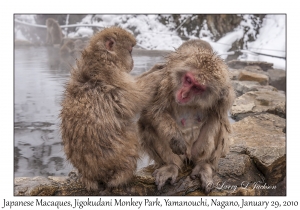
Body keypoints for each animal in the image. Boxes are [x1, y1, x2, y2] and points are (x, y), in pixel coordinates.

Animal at [59, 26, 145, 190]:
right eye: (130, 51)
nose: (133, 61)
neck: (100, 56)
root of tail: (92, 174)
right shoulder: (112, 74)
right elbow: (131, 101)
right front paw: (159, 71)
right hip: (123, 156)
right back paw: (123, 178)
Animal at [138, 39, 234, 194]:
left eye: (197, 87)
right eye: (188, 80)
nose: (183, 94)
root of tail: (188, 156)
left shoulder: (222, 97)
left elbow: (222, 109)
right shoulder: (164, 82)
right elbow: (153, 111)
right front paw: (175, 138)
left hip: (196, 151)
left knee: (217, 117)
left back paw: (203, 165)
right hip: (180, 155)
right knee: (147, 124)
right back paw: (171, 165)